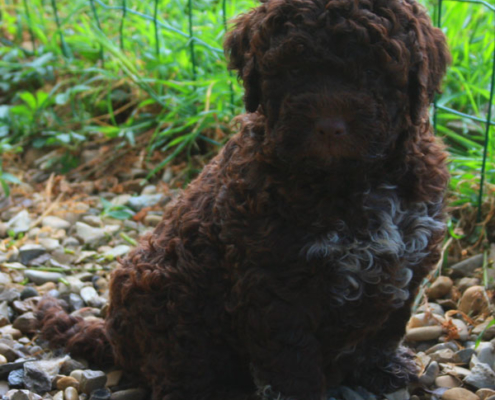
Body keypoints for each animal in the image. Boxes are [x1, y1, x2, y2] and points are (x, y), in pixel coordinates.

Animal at [36, 0, 452, 400]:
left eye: (374, 69)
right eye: (293, 68)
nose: (330, 127)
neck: (350, 181)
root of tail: (113, 335)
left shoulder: (408, 262)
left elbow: (385, 330)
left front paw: (381, 368)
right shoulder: (275, 283)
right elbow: (292, 358)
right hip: (168, 301)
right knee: (180, 374)